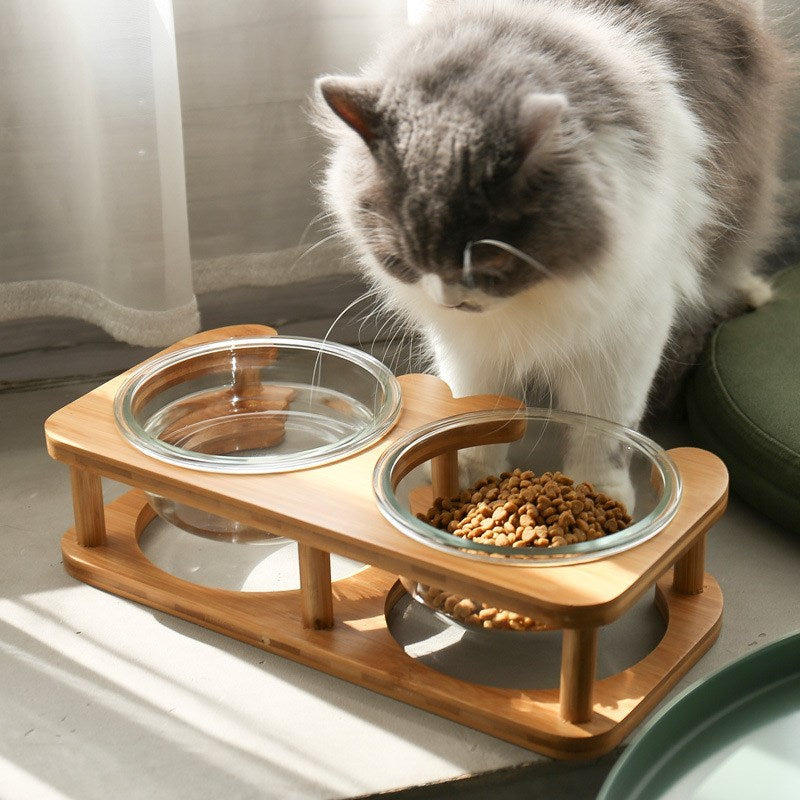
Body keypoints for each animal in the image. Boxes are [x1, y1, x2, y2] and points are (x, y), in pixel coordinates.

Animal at [314, 0, 788, 496]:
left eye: (493, 259)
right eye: (405, 261)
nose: (451, 299)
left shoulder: (627, 325)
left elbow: (604, 427)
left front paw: (600, 489)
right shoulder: (469, 340)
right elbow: (476, 404)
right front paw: (467, 468)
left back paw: (751, 293)